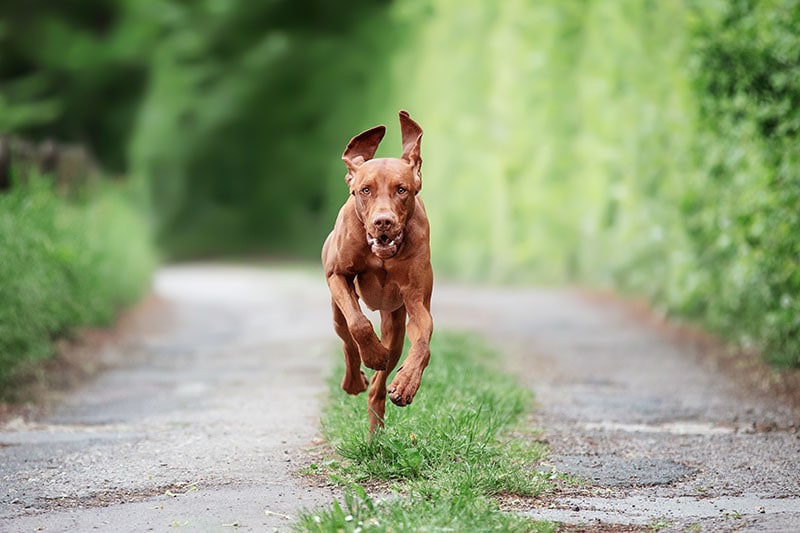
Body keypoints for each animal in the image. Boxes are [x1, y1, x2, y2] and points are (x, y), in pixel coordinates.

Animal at [322, 110, 434, 430]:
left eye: (402, 189)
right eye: (365, 190)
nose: (383, 222)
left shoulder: (416, 299)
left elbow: (424, 338)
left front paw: (407, 383)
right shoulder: (337, 276)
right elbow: (358, 325)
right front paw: (372, 355)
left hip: (394, 322)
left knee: (380, 383)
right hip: (336, 312)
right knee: (347, 340)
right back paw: (354, 380)